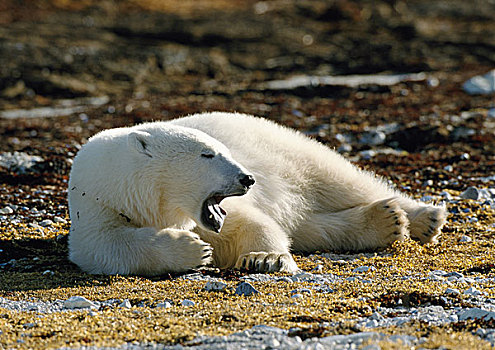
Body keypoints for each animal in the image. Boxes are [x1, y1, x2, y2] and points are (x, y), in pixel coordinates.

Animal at [67, 112, 450, 276]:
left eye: (223, 150)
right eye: (207, 154)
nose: (247, 178)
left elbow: (252, 224)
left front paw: (264, 259)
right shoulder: (97, 209)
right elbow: (107, 248)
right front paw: (193, 249)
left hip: (288, 150)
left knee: (341, 179)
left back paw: (423, 217)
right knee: (314, 227)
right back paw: (384, 221)